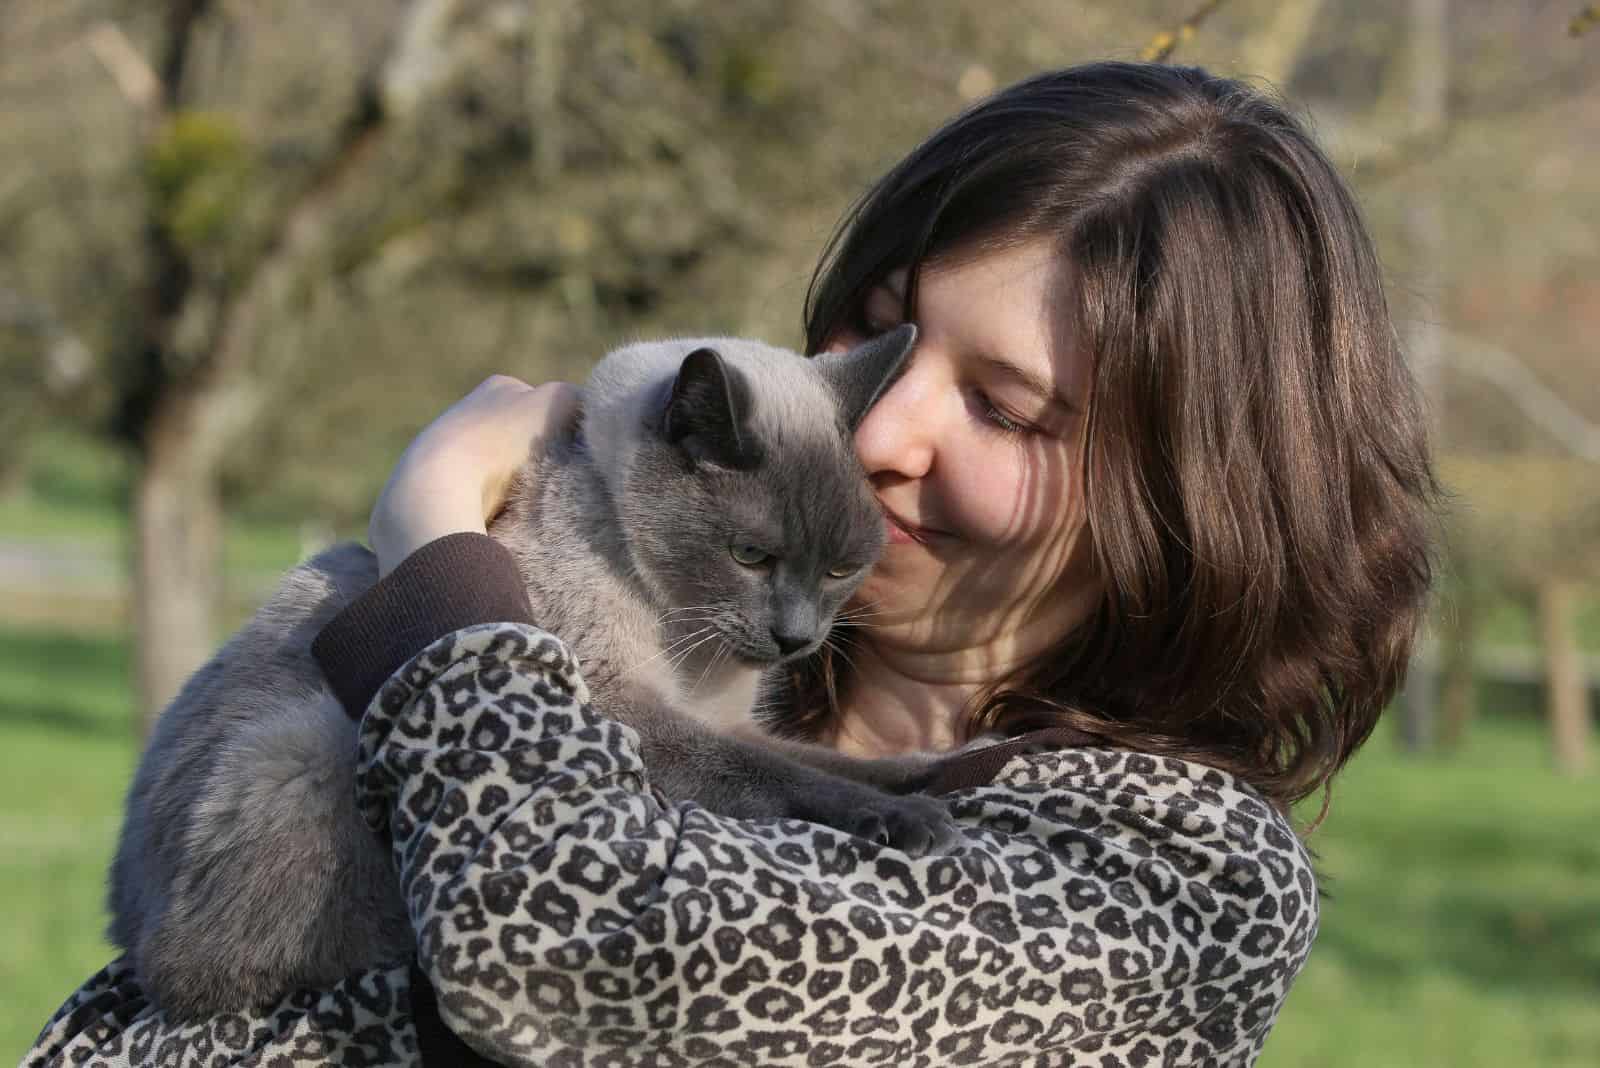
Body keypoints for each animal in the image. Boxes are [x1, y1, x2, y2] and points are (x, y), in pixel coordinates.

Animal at [112, 322, 960, 1016]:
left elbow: (826, 761)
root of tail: (126, 921)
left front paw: (946, 774)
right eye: (750, 556)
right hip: (312, 741)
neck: (695, 656)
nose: (795, 638)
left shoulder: (721, 719)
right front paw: (913, 823)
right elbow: (780, 776)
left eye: (843, 569)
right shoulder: (627, 714)